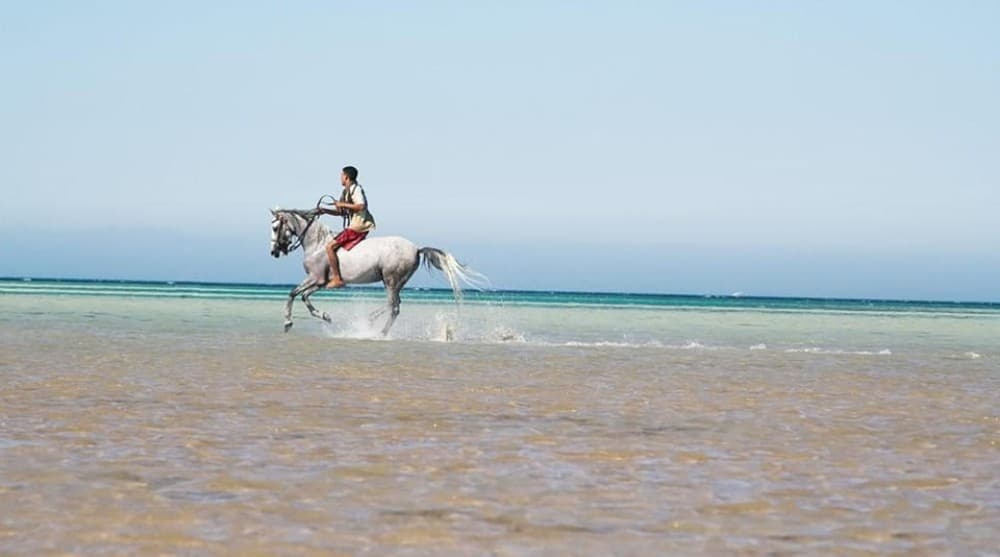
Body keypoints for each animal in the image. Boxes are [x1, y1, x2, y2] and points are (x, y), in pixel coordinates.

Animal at [269, 208, 487, 335]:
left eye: (276, 227)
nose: (274, 252)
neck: (317, 244)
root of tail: (416, 249)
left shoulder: (315, 278)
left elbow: (294, 293)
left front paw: (288, 322)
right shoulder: (320, 282)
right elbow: (304, 296)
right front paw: (325, 316)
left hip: (391, 280)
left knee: (394, 306)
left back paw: (379, 332)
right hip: (394, 282)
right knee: (395, 303)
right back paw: (371, 318)